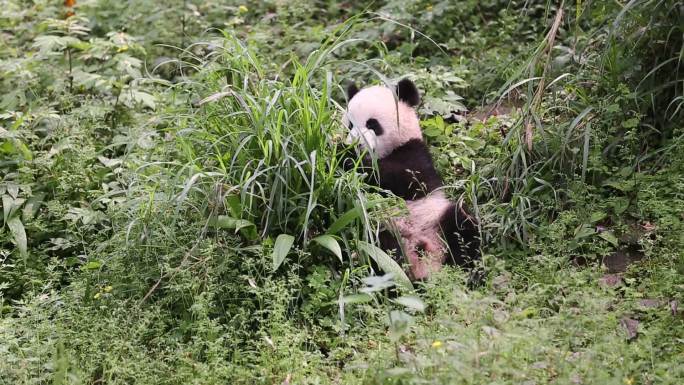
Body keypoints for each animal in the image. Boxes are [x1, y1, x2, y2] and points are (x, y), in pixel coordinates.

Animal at [342, 77, 480, 280]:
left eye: (372, 124)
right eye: (350, 125)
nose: (355, 144)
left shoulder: (416, 154)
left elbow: (401, 179)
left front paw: (348, 159)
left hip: (436, 218)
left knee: (462, 227)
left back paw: (470, 274)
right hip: (381, 227)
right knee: (381, 250)